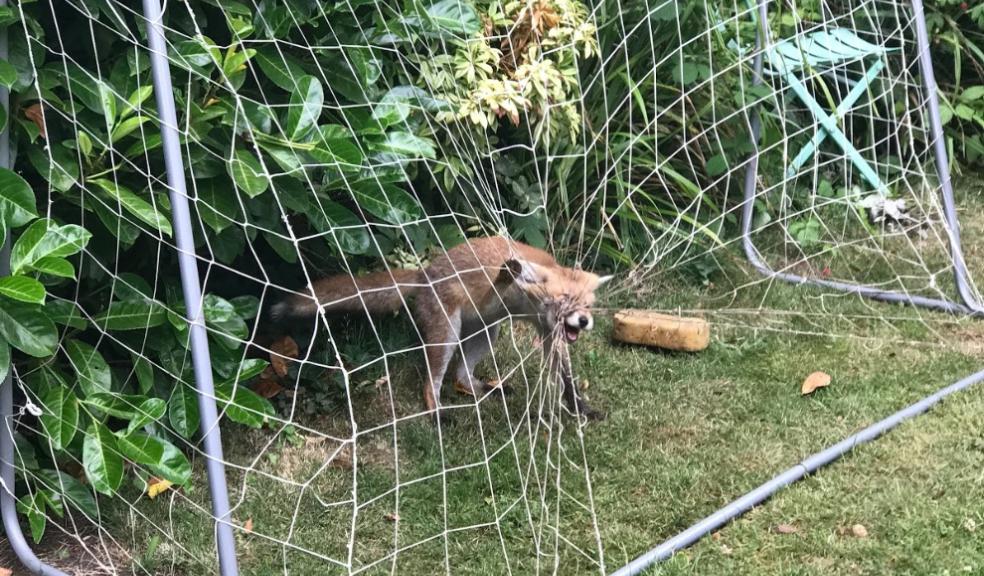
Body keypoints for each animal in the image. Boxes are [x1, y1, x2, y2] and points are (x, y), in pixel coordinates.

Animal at [270, 236, 608, 420]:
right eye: (564, 300)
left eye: (587, 305)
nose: (584, 321)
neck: (530, 305)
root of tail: (424, 273)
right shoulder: (496, 295)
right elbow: (501, 280)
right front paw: (507, 271)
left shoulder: (551, 334)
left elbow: (567, 380)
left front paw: (581, 409)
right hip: (446, 335)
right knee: (431, 382)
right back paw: (437, 414)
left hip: (487, 333)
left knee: (460, 375)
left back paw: (485, 389)